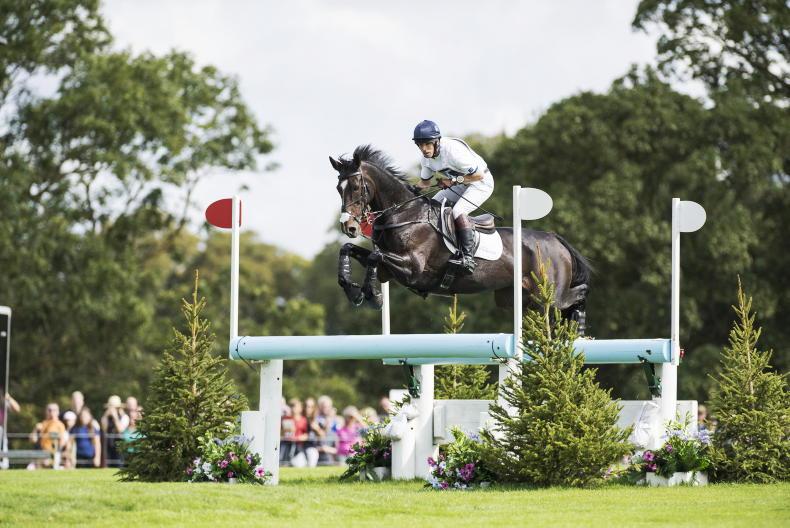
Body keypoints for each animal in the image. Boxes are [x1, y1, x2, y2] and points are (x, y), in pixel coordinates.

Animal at [330, 145, 591, 332]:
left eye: (355, 186)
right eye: (338, 188)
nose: (348, 226)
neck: (403, 213)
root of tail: (554, 239)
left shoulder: (413, 268)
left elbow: (374, 255)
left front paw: (372, 295)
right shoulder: (388, 270)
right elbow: (349, 249)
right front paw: (354, 291)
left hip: (548, 294)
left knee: (577, 294)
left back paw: (578, 326)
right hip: (515, 299)